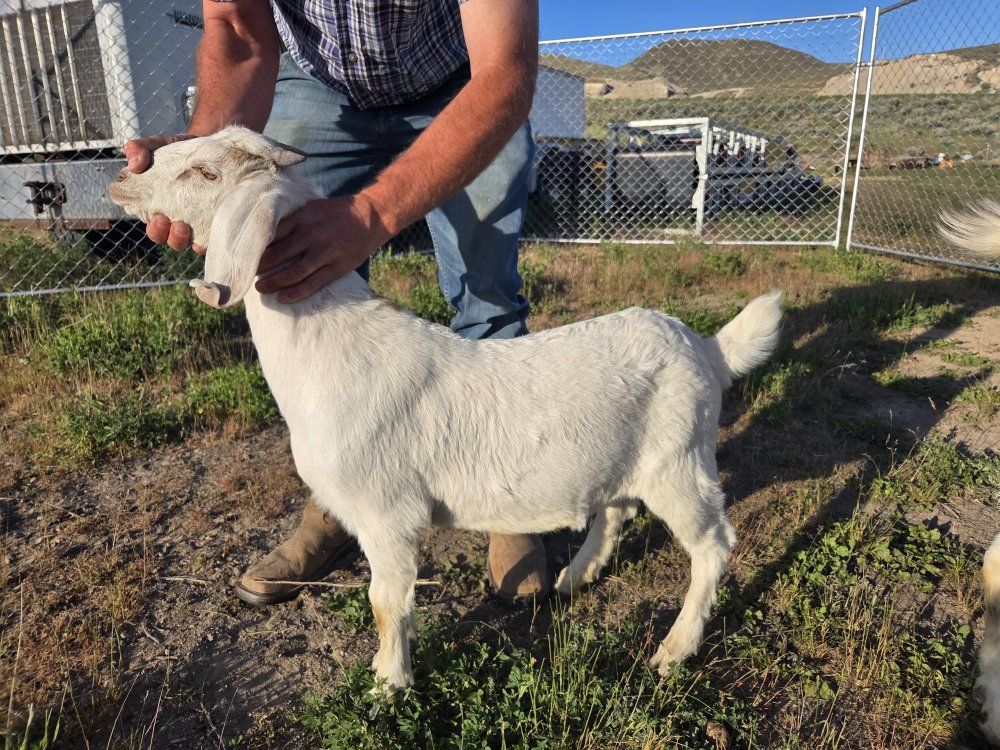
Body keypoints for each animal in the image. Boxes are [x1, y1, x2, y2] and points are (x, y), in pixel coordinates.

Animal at [109, 126, 783, 692]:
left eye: (202, 173)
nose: (121, 177)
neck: (328, 349)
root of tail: (707, 348)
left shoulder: (387, 512)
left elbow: (386, 603)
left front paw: (388, 685)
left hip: (679, 460)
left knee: (714, 544)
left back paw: (675, 648)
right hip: (627, 456)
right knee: (616, 508)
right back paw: (576, 577)